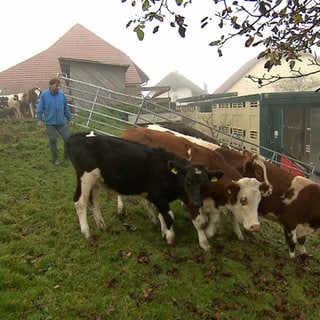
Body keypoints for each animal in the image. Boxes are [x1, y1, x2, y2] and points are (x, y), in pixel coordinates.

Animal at [66, 131, 224, 246]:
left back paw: (102, 225)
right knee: (80, 202)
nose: (197, 203)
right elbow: (169, 216)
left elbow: (162, 214)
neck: (167, 171)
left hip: (96, 181)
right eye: (188, 181)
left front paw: (163, 231)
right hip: (85, 178)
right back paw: (87, 233)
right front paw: (170, 237)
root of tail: (77, 136)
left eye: (205, 183)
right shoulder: (156, 195)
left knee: (94, 202)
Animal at [121, 125, 268, 250]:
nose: (256, 226)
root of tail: (132, 130)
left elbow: (214, 221)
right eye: (243, 200)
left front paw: (209, 233)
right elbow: (200, 222)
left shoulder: (211, 201)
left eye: (258, 201)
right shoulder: (190, 198)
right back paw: (121, 209)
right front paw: (204, 243)